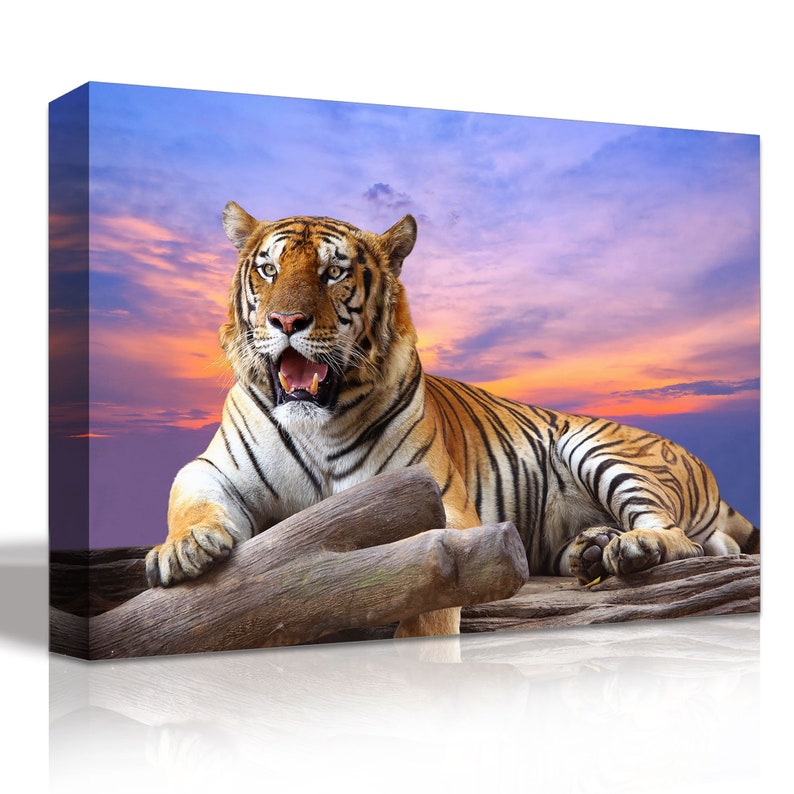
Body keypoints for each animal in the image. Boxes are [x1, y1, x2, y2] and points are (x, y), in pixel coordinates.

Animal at [144, 203, 760, 638]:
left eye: (333, 272)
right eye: (269, 270)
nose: (286, 320)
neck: (315, 421)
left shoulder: (443, 509)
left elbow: (430, 590)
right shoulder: (213, 467)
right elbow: (189, 498)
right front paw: (184, 550)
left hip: (599, 447)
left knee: (684, 539)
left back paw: (633, 548)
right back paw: (592, 547)